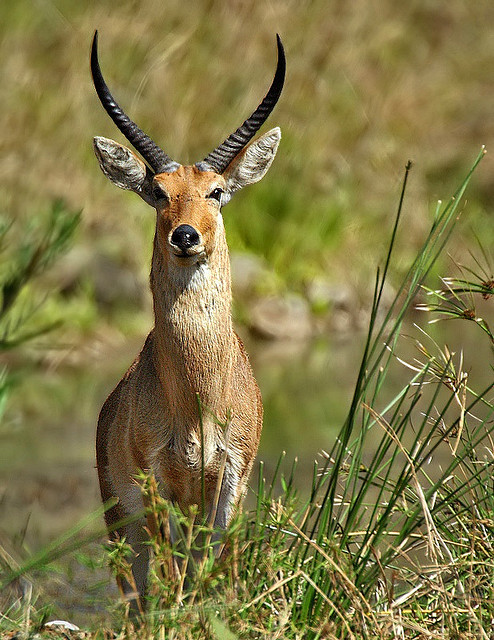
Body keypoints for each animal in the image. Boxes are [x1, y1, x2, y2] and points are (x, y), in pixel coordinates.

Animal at [91, 30, 286, 600]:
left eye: (217, 191)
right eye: (159, 192)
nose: (185, 235)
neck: (199, 396)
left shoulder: (231, 478)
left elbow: (216, 564)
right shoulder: (157, 481)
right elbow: (176, 574)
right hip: (122, 521)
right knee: (138, 592)